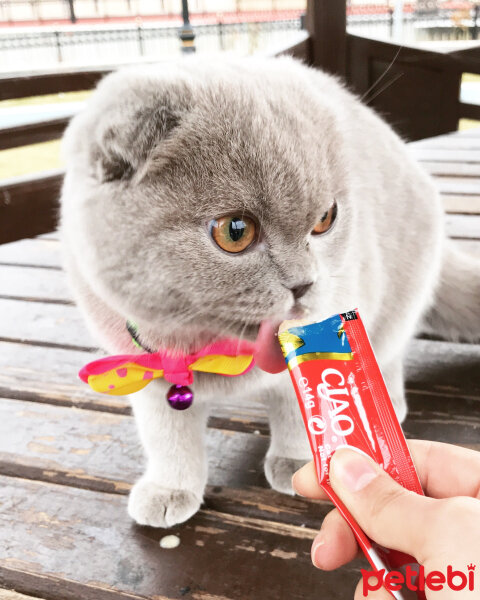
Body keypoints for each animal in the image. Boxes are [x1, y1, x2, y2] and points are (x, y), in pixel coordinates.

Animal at [60, 55, 480, 524]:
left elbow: (300, 409)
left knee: (389, 349)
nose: (305, 282)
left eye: (326, 218)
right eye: (235, 231)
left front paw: (300, 463)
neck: (205, 349)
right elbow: (168, 436)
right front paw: (169, 489)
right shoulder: (145, 370)